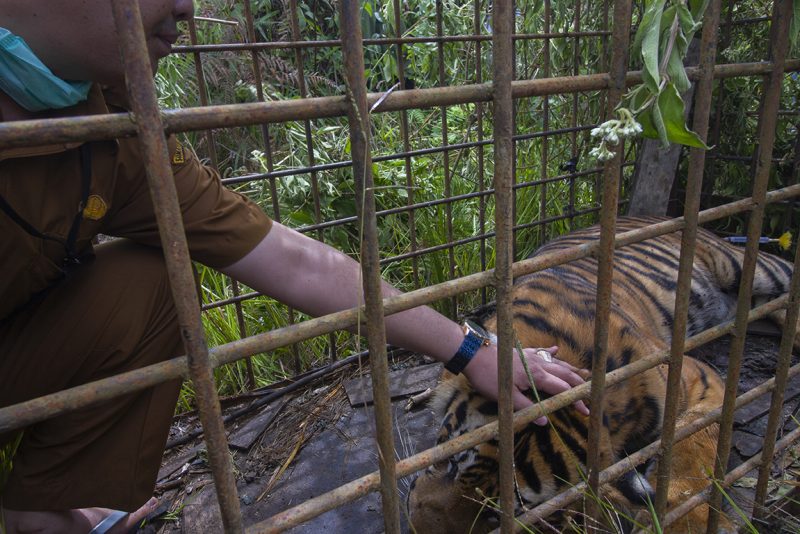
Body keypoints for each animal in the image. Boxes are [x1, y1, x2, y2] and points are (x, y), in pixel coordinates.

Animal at [410, 218, 796, 534]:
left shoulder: (695, 376)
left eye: (497, 515)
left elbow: (692, 440)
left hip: (748, 266)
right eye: (451, 463)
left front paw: (686, 520)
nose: (413, 528)